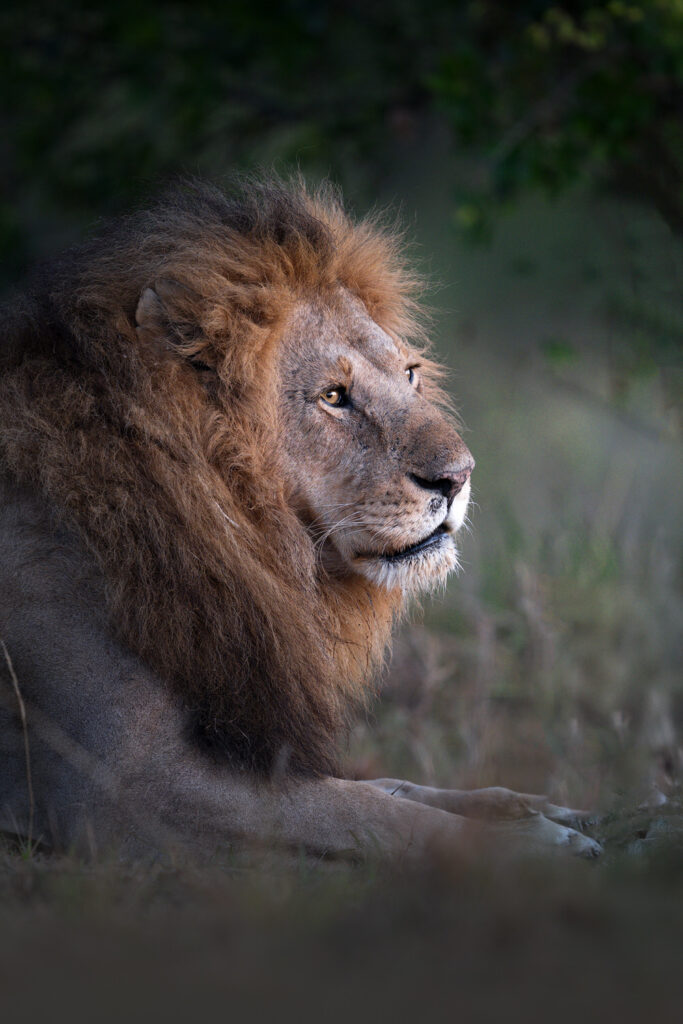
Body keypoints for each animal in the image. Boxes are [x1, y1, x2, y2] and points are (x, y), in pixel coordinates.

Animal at [0, 176, 600, 860]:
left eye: (410, 374)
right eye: (333, 396)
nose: (459, 476)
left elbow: (396, 788)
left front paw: (557, 811)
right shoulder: (118, 786)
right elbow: (373, 812)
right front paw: (534, 845)